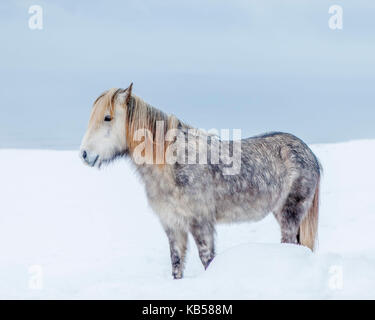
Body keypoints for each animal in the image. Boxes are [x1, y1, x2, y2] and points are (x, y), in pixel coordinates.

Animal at [81, 84, 322, 278]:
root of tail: (309, 153)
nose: (84, 154)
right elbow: (176, 263)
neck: (172, 165)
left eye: (107, 117)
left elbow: (207, 259)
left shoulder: (201, 222)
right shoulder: (172, 224)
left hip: (291, 213)